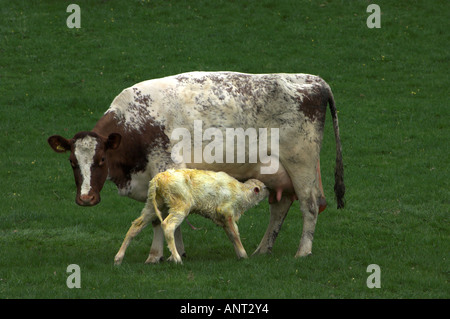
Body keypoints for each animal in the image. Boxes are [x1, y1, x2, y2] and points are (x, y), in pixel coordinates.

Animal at [113, 168, 268, 264]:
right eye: (264, 188)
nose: (270, 191)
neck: (242, 193)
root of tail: (159, 178)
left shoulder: (223, 218)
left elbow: (231, 235)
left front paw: (240, 255)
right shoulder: (226, 211)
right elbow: (235, 234)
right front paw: (244, 255)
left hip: (153, 204)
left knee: (136, 226)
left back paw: (118, 258)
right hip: (180, 204)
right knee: (168, 225)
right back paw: (176, 258)